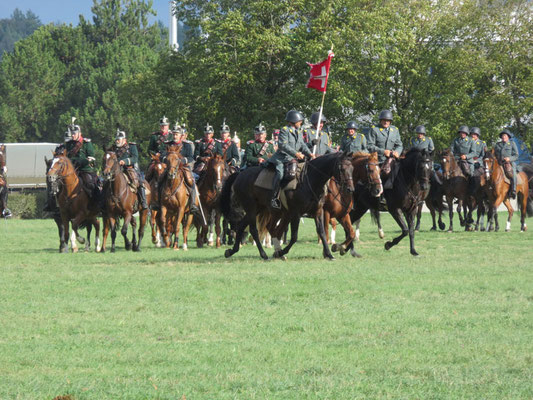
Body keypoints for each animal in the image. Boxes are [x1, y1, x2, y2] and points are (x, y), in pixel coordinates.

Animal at [218, 152, 356, 260]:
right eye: (341, 168)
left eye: (352, 169)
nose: (350, 189)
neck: (309, 179)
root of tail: (240, 174)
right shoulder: (296, 213)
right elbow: (294, 237)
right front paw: (281, 252)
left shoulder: (318, 212)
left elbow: (322, 232)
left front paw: (329, 254)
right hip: (252, 208)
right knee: (254, 230)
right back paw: (264, 254)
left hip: (260, 209)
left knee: (243, 225)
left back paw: (232, 251)